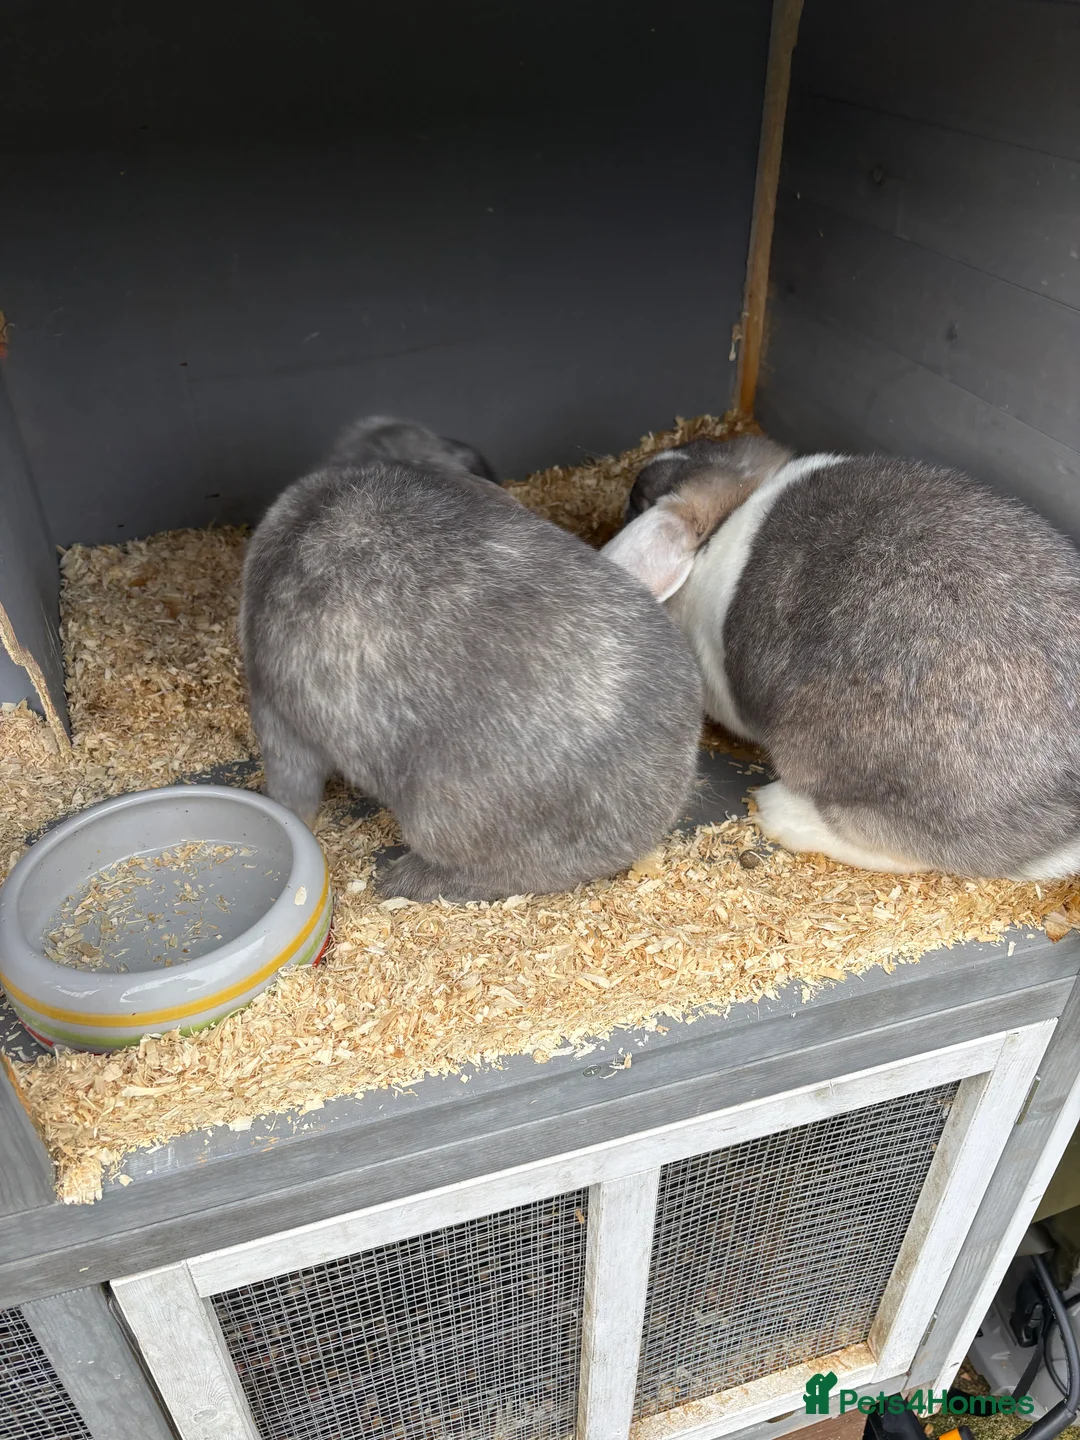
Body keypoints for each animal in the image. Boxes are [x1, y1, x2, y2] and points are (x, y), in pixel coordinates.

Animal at [240, 416, 703, 902]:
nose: (371, 420)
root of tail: (666, 772)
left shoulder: (273, 705)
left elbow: (292, 786)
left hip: (445, 825)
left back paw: (404, 879)